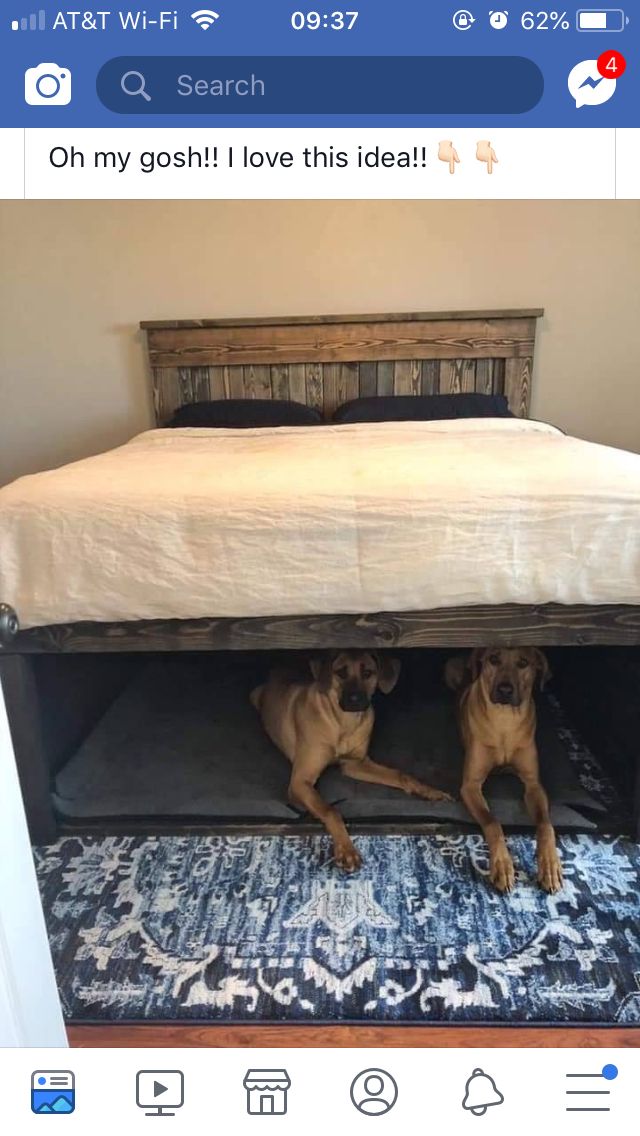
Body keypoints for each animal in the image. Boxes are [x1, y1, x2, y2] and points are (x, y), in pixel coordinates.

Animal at [250, 649, 450, 867]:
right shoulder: (300, 781)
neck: (343, 722)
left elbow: (401, 775)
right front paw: (346, 849)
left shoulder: (356, 764)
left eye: (368, 673)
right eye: (340, 673)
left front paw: (429, 790)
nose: (355, 699)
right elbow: (331, 810)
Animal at [447, 649, 563, 895]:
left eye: (523, 662)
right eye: (493, 659)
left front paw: (549, 864)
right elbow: (493, 823)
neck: (504, 721)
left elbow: (545, 824)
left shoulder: (533, 784)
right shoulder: (470, 786)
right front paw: (502, 865)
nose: (505, 689)